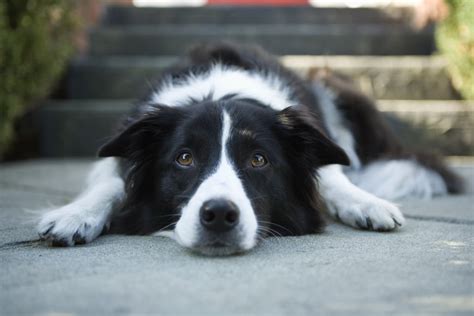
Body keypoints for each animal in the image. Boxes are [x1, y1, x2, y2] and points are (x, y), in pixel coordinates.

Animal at [38, 42, 462, 254]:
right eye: (184, 158)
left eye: (259, 160)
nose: (218, 216)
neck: (220, 89)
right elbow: (112, 182)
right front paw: (74, 215)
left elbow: (331, 176)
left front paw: (366, 203)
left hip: (333, 85)